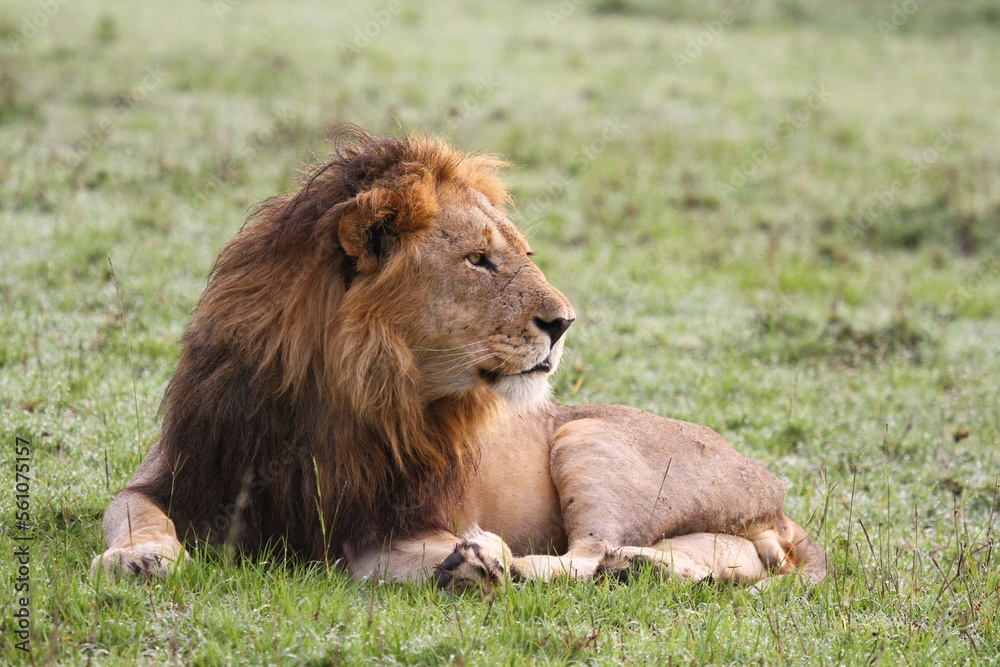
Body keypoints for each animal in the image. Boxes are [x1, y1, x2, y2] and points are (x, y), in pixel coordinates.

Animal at [95, 124, 828, 588]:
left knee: (590, 551)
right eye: (479, 260)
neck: (341, 393)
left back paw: (531, 564)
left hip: (588, 437)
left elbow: (386, 559)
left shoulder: (396, 515)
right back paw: (644, 568)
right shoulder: (178, 474)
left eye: (521, 254)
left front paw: (470, 562)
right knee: (729, 556)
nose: (564, 323)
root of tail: (771, 486)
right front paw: (138, 560)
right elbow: (135, 514)